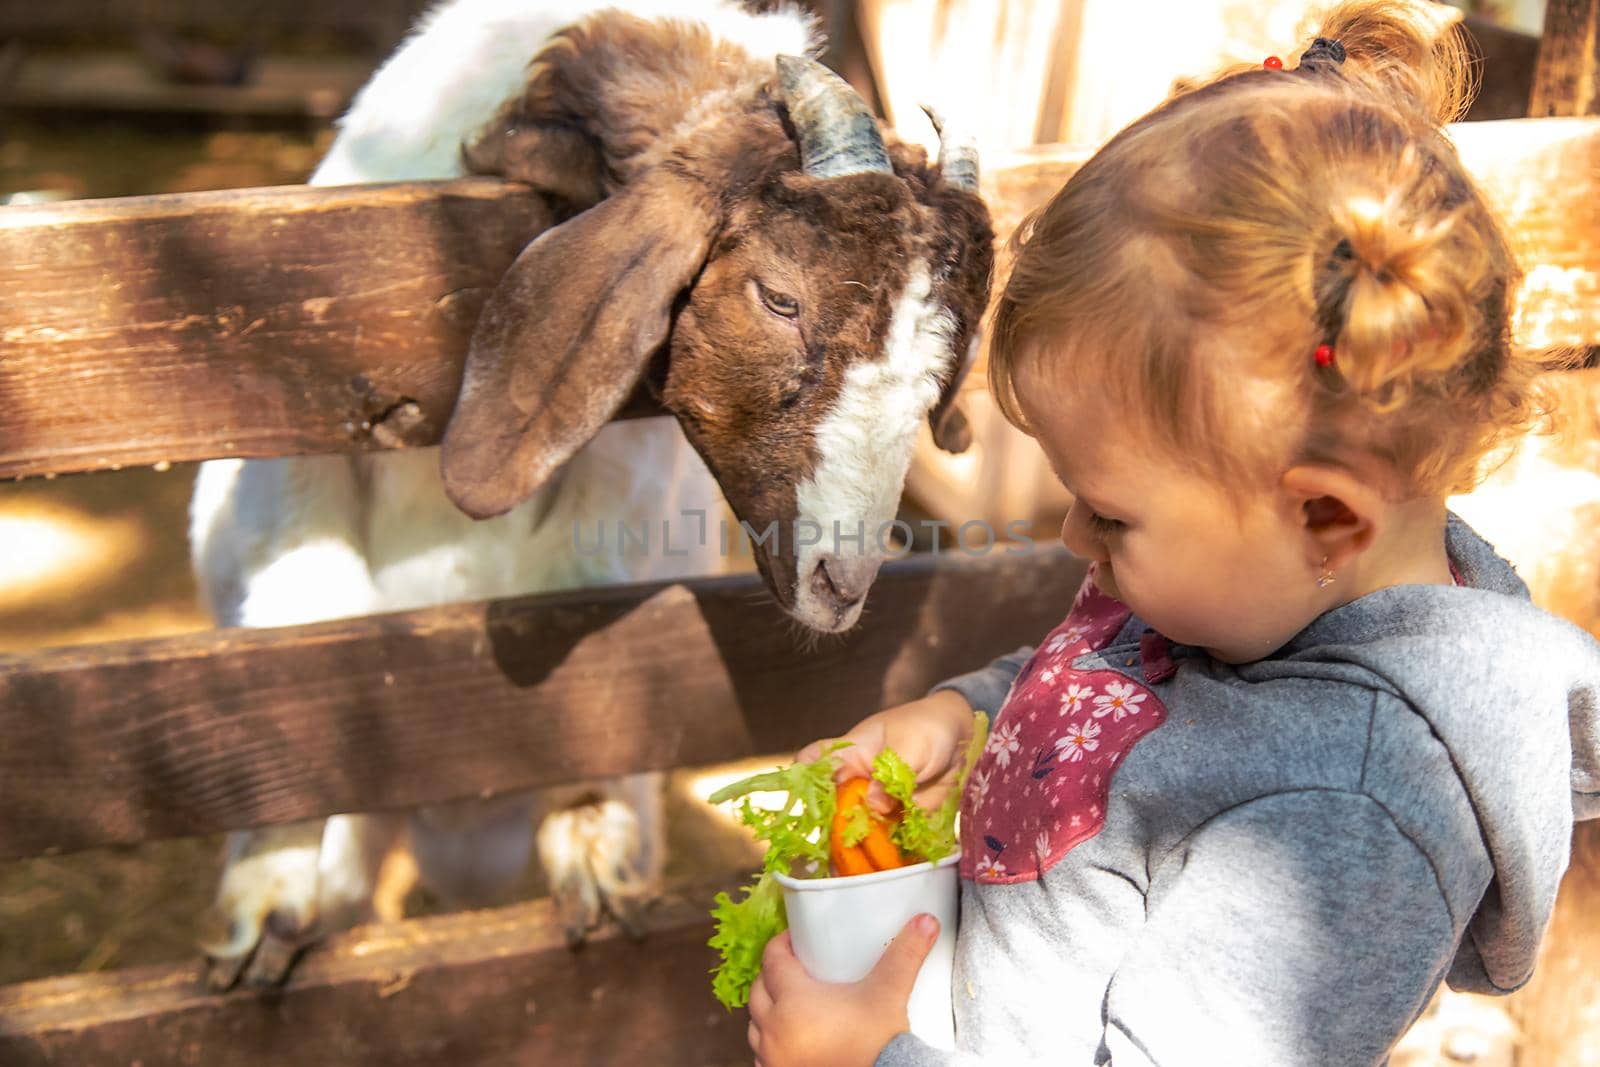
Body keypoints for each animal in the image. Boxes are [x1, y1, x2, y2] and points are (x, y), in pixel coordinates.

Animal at [184, 0, 985, 991]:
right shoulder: (300, 457)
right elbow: (304, 618)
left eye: (947, 355)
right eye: (779, 298)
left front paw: (594, 854)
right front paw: (265, 903)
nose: (845, 582)